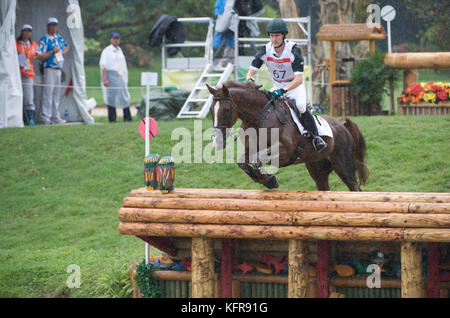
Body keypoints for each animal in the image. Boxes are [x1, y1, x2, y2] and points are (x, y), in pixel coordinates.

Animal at [206, 82, 368, 191]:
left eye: (226, 110)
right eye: (212, 111)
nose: (217, 142)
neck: (260, 117)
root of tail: (341, 124)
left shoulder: (284, 150)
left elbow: (258, 159)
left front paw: (269, 179)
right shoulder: (249, 149)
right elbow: (243, 163)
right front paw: (267, 180)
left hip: (343, 165)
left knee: (355, 187)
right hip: (317, 168)